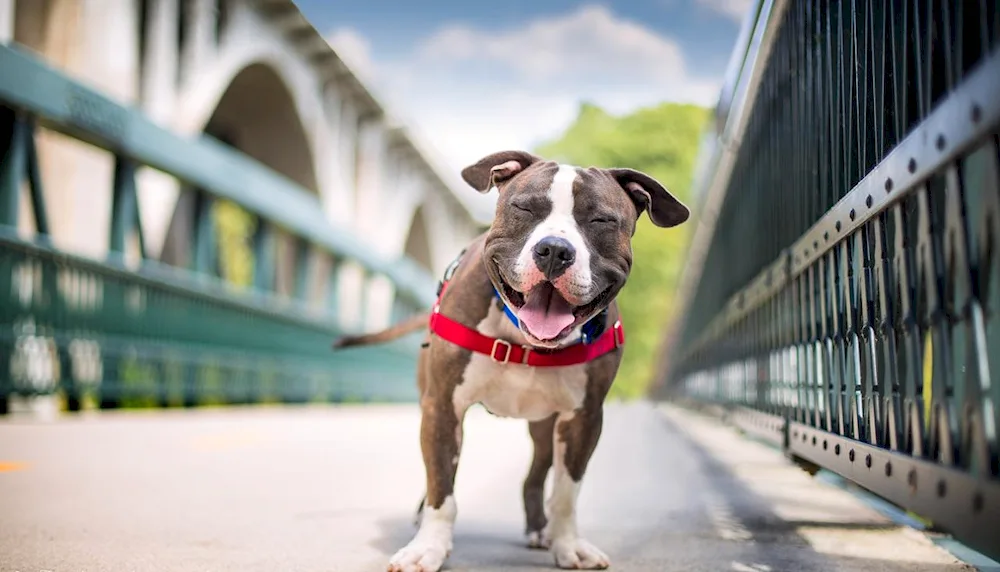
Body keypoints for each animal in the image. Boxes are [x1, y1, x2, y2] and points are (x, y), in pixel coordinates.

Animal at [332, 150, 692, 568]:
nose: (554, 250)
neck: (524, 340)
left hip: (545, 427)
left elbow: (566, 493)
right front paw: (429, 548)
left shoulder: (584, 418)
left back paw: (541, 530)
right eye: (524, 208)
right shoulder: (442, 406)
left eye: (601, 220)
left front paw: (568, 545)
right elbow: (441, 486)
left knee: (536, 476)